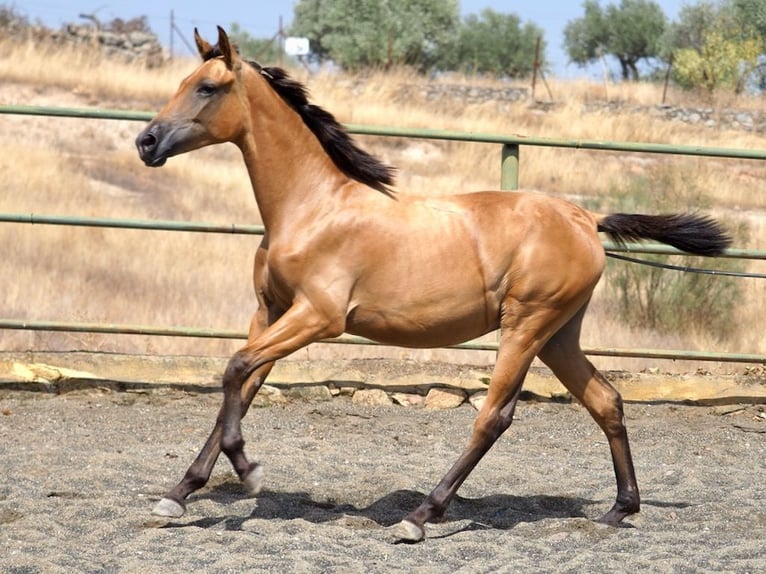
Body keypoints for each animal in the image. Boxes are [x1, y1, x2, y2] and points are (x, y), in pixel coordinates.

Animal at [135, 24, 736, 544]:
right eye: (183, 82)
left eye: (208, 87)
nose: (146, 141)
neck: (313, 208)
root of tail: (585, 218)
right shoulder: (271, 312)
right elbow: (241, 384)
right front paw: (179, 494)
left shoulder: (318, 317)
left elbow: (236, 369)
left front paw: (248, 470)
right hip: (559, 334)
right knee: (606, 400)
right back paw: (619, 509)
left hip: (527, 326)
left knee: (494, 417)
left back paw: (421, 515)